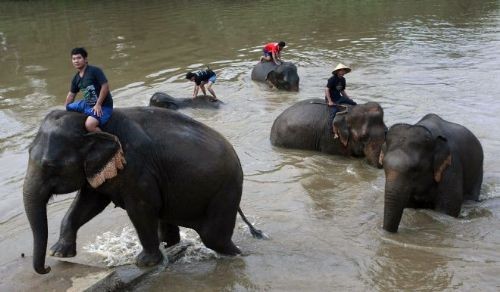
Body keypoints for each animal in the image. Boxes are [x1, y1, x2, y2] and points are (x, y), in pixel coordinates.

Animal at [23, 106, 262, 274]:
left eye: (50, 166)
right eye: (28, 152)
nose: (47, 268)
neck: (95, 122)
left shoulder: (137, 167)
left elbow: (140, 208)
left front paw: (144, 263)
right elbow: (90, 202)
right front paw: (59, 252)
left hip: (225, 190)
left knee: (214, 238)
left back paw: (238, 255)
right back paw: (172, 246)